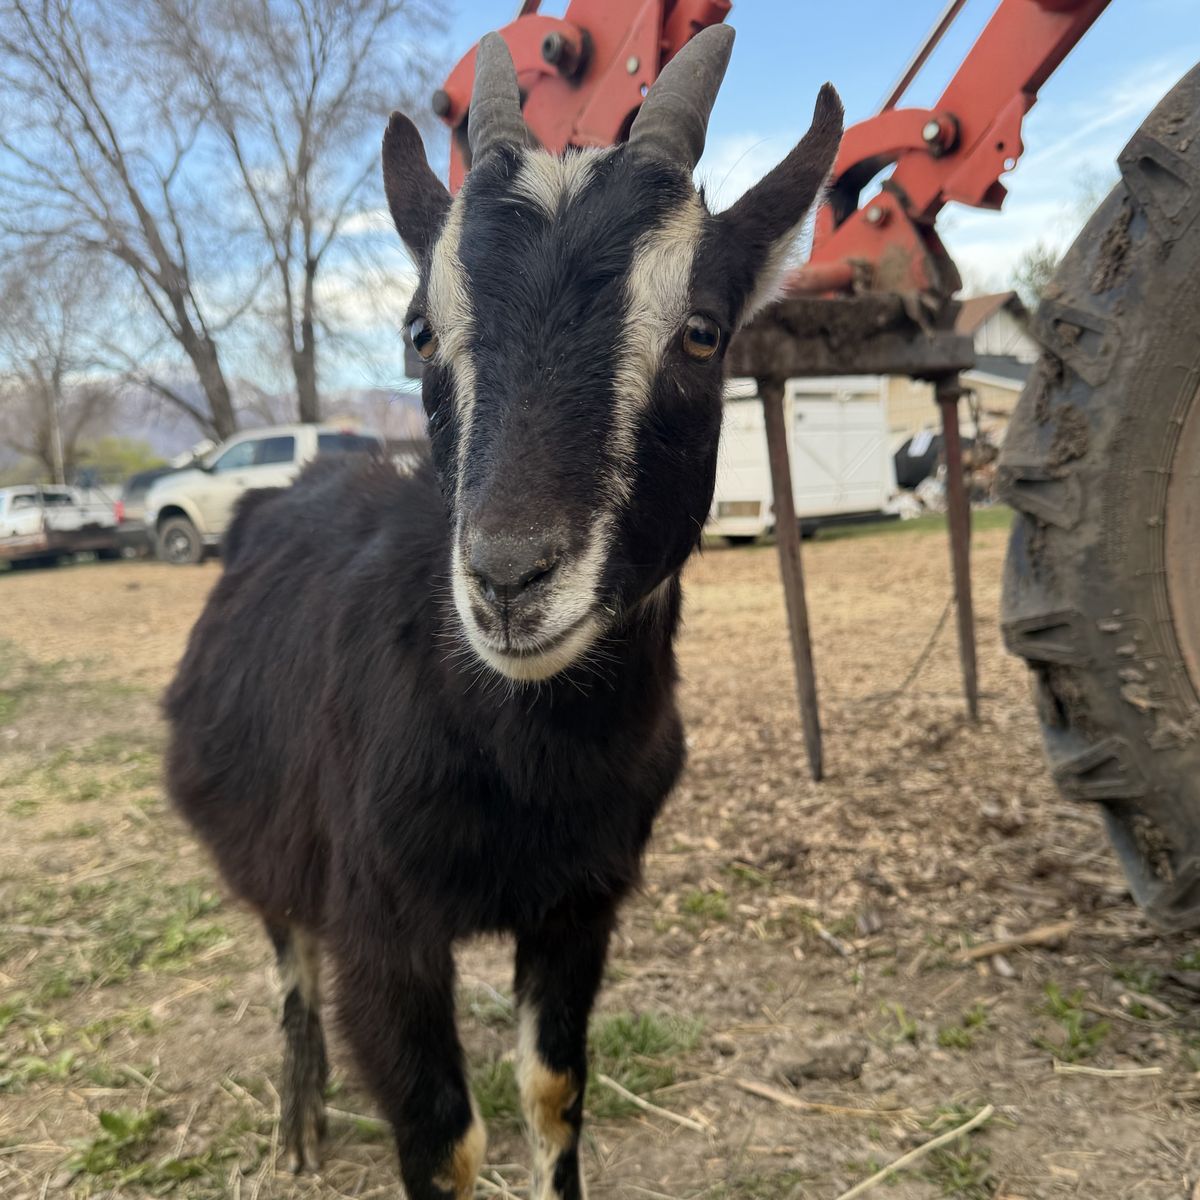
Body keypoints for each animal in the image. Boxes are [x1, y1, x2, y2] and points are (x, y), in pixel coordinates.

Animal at [163, 25, 841, 1200]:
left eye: (703, 333)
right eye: (419, 332)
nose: (511, 577)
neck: (528, 758)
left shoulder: (579, 906)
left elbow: (553, 1094)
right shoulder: (381, 921)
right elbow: (442, 1137)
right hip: (266, 831)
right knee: (289, 959)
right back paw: (296, 1126)